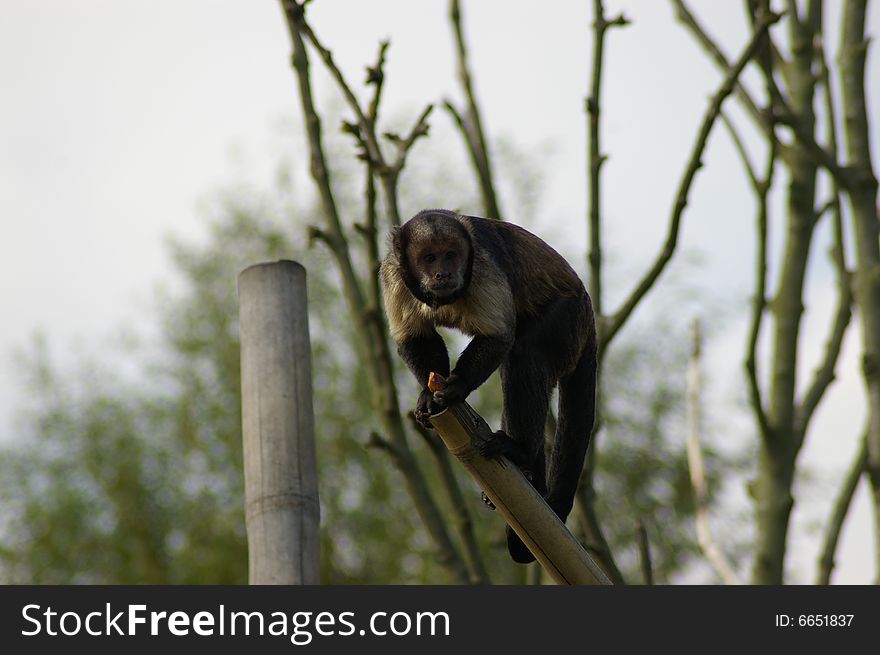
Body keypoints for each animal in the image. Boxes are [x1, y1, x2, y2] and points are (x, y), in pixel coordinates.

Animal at [380, 209, 600, 564]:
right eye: (429, 258)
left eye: (451, 254)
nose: (443, 272)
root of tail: (590, 318)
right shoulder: (392, 276)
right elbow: (415, 337)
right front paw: (429, 395)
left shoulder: (482, 266)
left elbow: (498, 337)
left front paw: (456, 388)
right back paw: (531, 475)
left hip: (571, 318)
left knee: (524, 352)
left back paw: (518, 449)